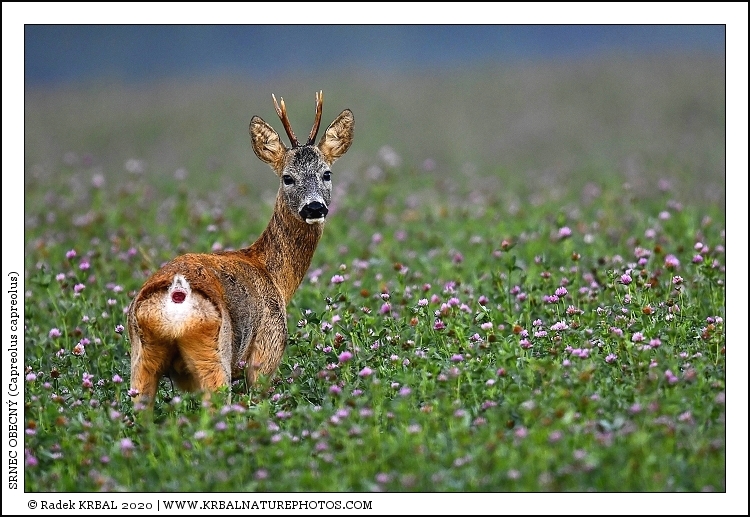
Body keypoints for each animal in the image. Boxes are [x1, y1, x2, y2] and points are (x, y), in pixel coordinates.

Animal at [127, 91, 354, 408]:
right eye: (287, 177)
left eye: (327, 173)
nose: (314, 207)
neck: (272, 273)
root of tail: (176, 294)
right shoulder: (266, 348)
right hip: (215, 354)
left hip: (141, 357)